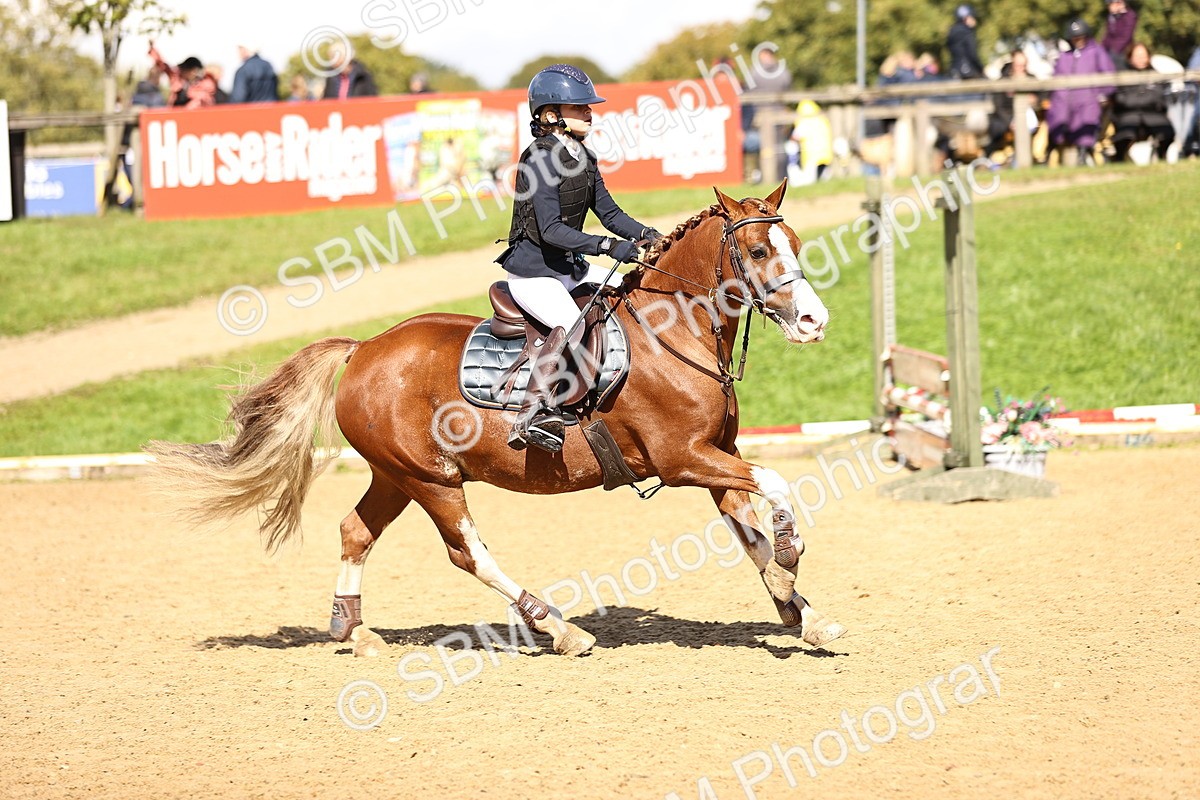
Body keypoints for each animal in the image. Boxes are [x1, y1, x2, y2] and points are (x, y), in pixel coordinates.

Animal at [147, 179, 848, 658]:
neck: (670, 332)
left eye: (795, 244)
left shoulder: (716, 458)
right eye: (755, 249)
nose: (815, 322)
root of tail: (365, 348)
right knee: (467, 552)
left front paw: (804, 613)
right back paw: (557, 626)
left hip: (396, 476)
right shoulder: (683, 460)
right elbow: (776, 492)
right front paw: (793, 555)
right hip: (432, 480)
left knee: (355, 532)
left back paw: (355, 630)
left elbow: (750, 535)